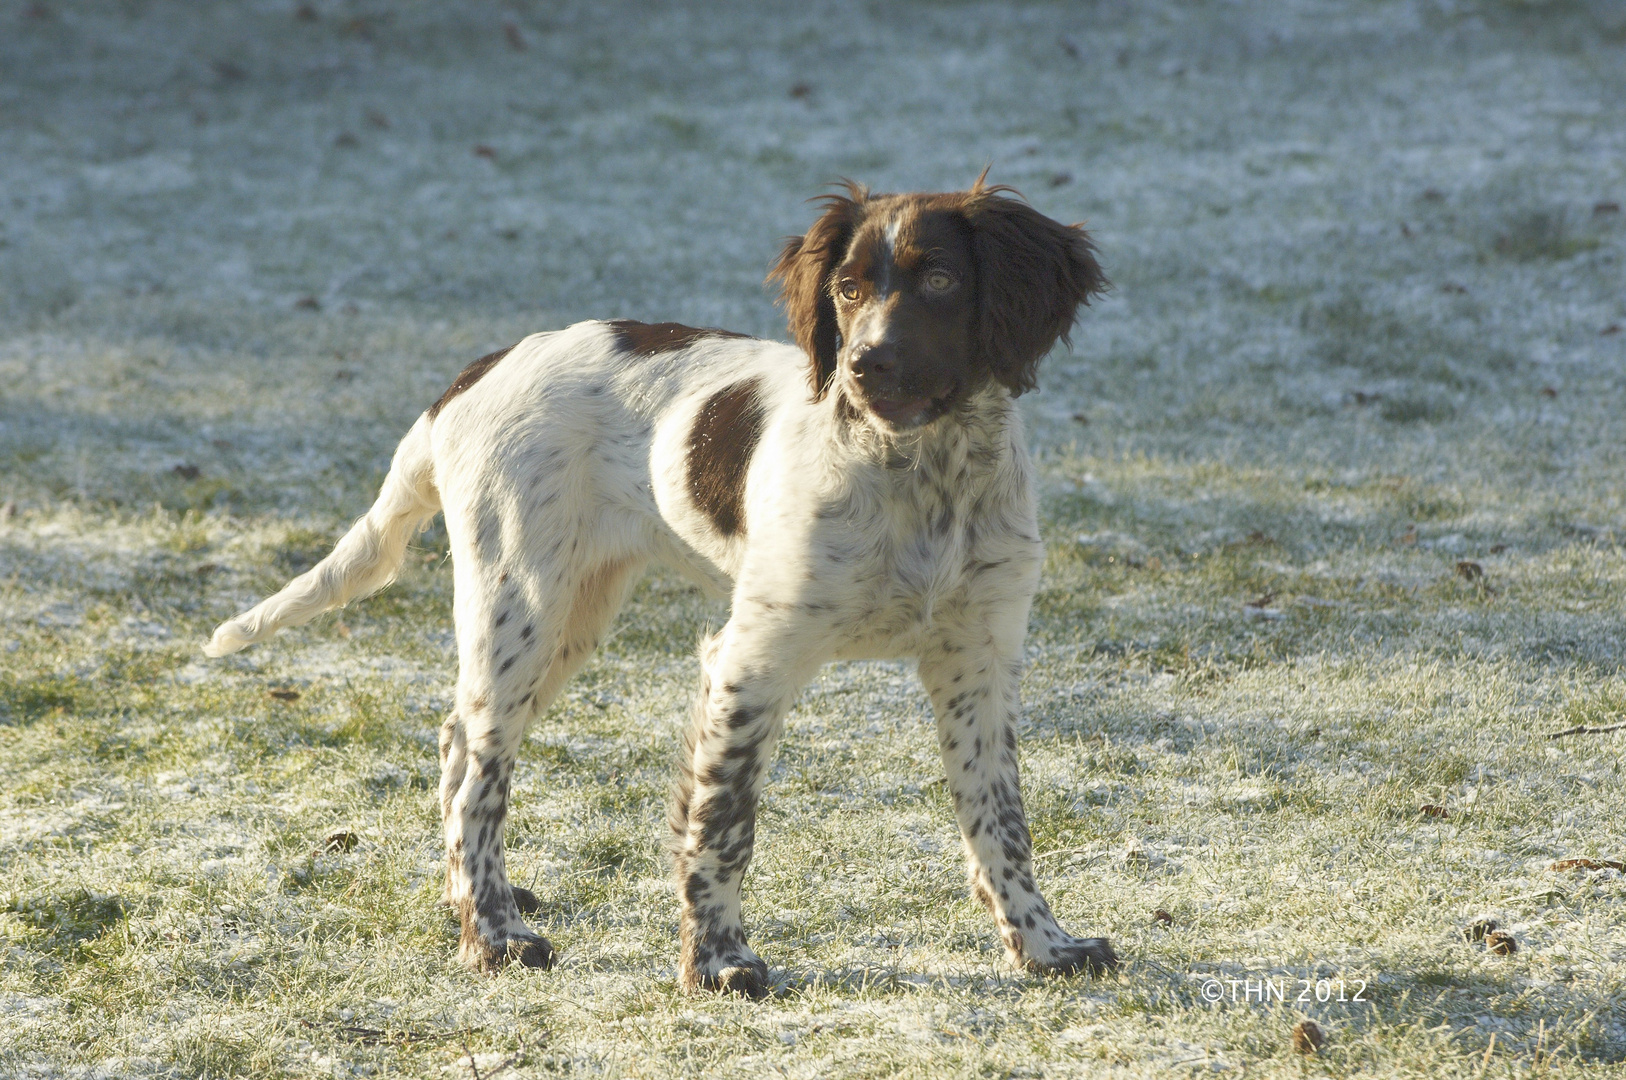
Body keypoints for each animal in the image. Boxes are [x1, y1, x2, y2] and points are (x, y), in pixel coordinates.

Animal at [206, 177, 1118, 995]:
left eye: (941, 281)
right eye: (847, 289)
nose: (865, 367)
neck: (924, 472)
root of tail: (478, 372)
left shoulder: (980, 660)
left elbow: (1001, 820)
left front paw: (1044, 945)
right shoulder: (750, 659)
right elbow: (723, 822)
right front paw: (718, 963)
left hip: (571, 619)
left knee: (455, 739)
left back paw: (467, 904)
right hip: (522, 605)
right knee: (480, 776)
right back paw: (497, 936)